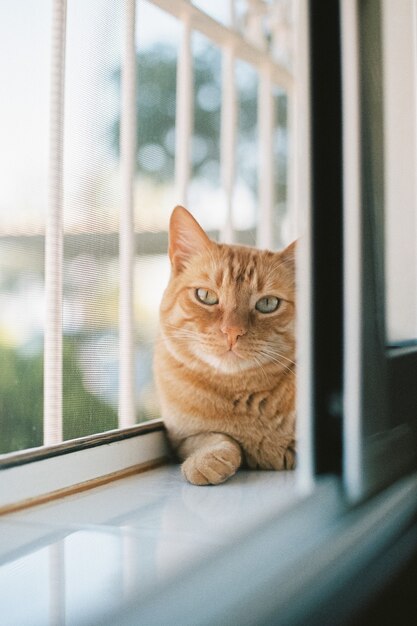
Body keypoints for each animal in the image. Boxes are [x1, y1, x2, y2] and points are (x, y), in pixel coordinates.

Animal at [154, 207, 296, 486]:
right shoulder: (181, 438)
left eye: (268, 304)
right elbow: (215, 438)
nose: (232, 332)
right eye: (206, 296)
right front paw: (208, 460)